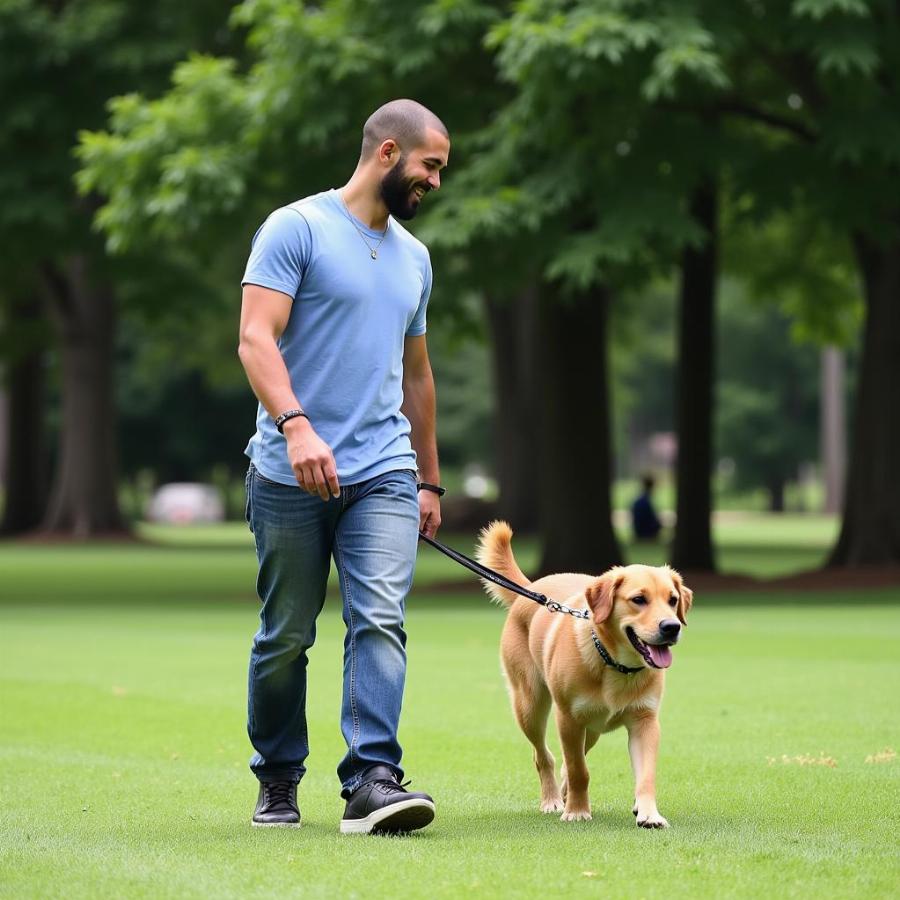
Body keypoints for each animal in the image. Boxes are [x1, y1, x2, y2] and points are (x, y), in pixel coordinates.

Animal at [474, 520, 692, 828]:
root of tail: (531, 588)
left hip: (593, 729)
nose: (671, 627)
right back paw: (553, 799)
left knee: (567, 761)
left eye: (673, 600)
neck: (616, 666)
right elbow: (579, 769)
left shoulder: (645, 720)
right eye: (639, 599)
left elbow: (646, 775)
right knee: (545, 756)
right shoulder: (569, 719)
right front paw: (577, 810)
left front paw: (649, 813)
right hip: (530, 706)